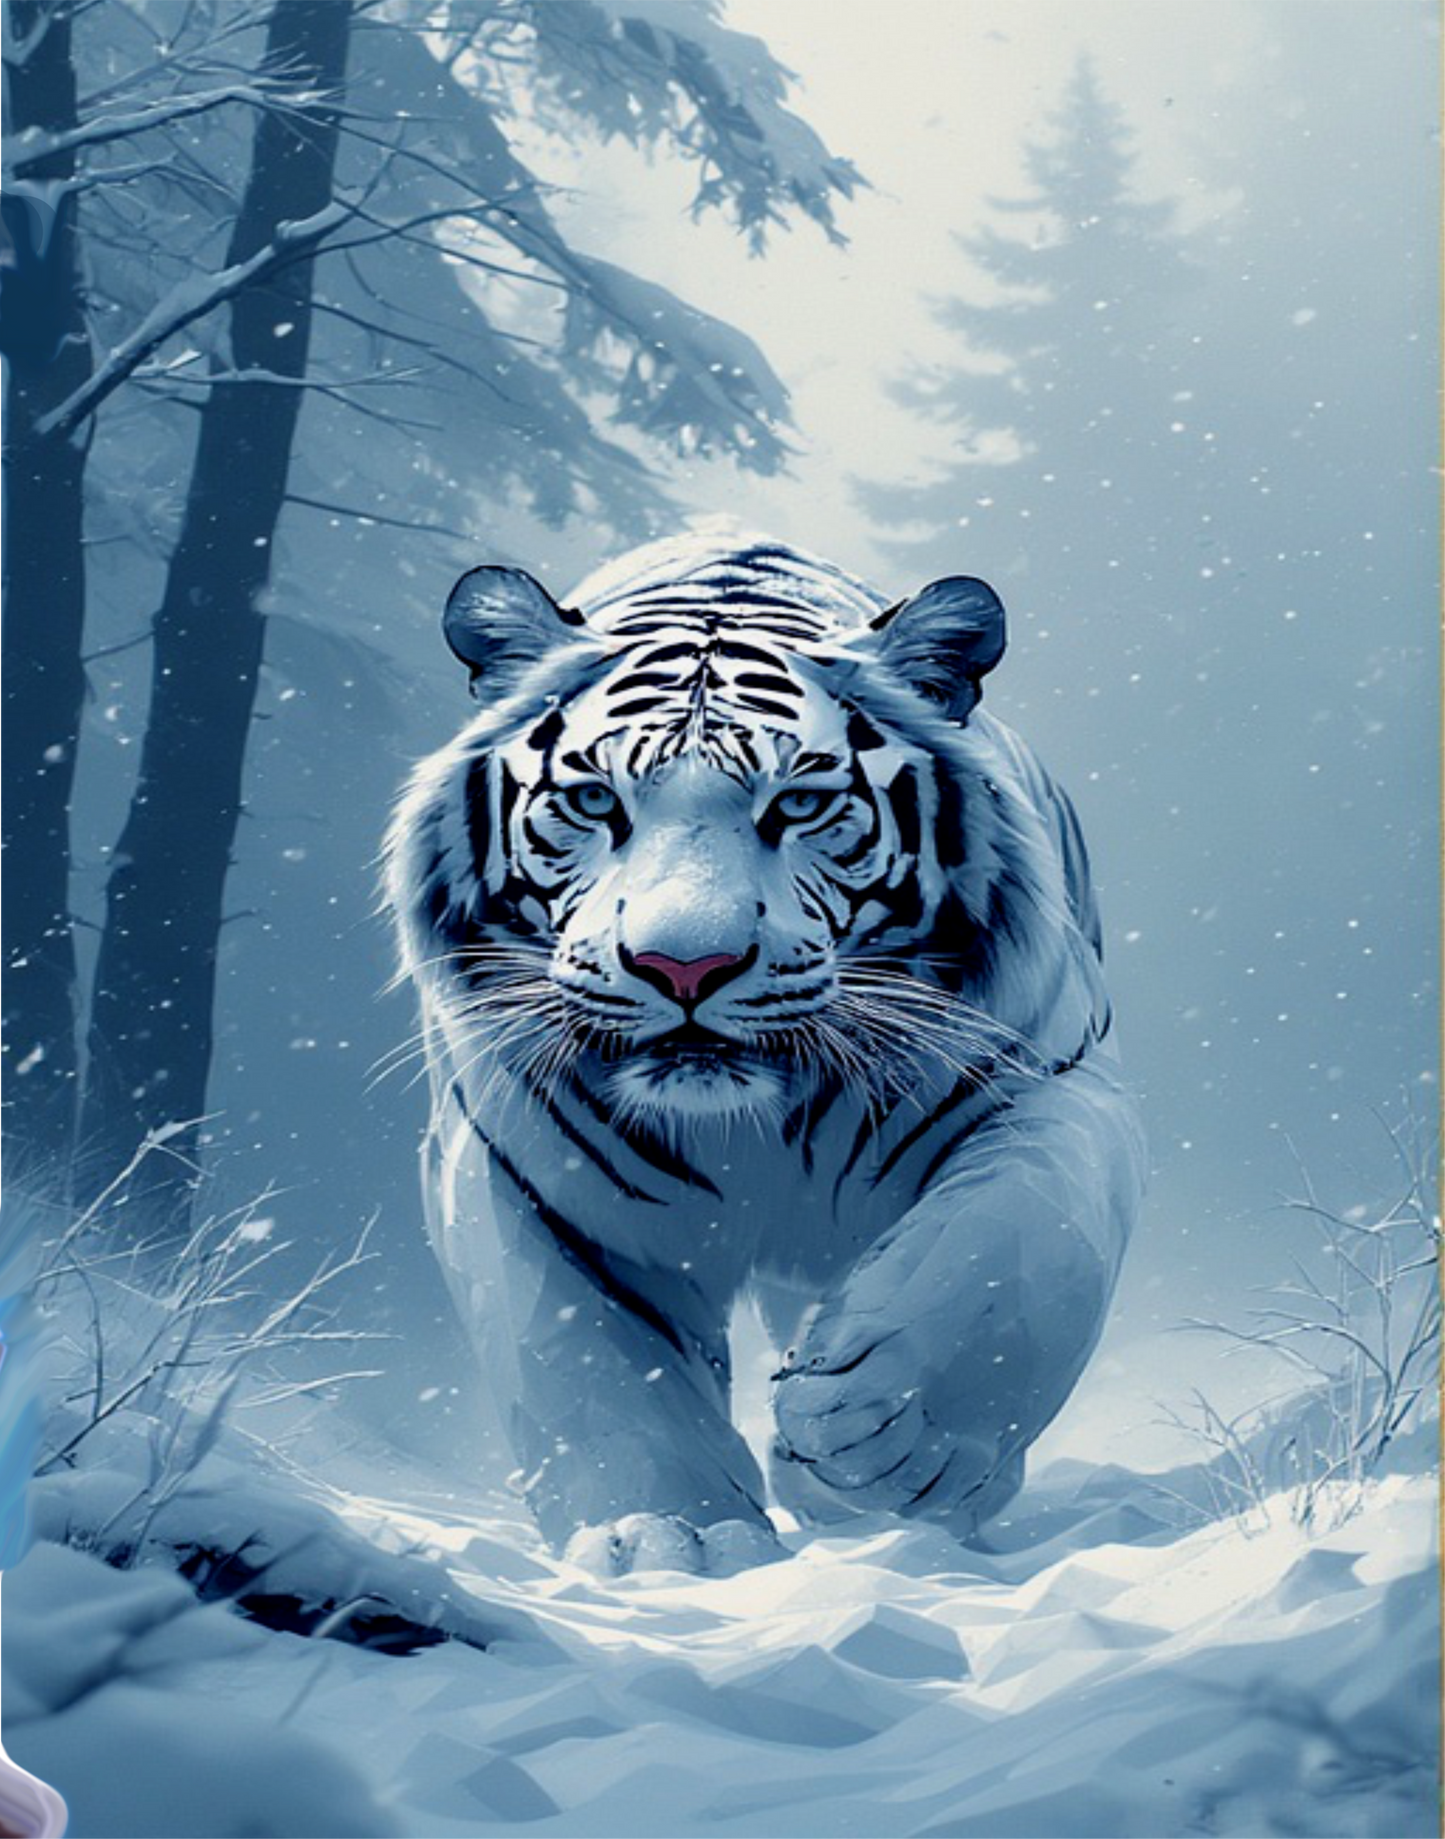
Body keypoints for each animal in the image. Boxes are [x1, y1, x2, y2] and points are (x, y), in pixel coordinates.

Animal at [385, 532, 1146, 1575]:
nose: (684, 965)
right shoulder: (519, 1166)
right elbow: (590, 1361)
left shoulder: (1052, 1080)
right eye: (593, 800)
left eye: (802, 802)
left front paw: (877, 1435)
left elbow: (1015, 1244)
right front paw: (669, 1536)